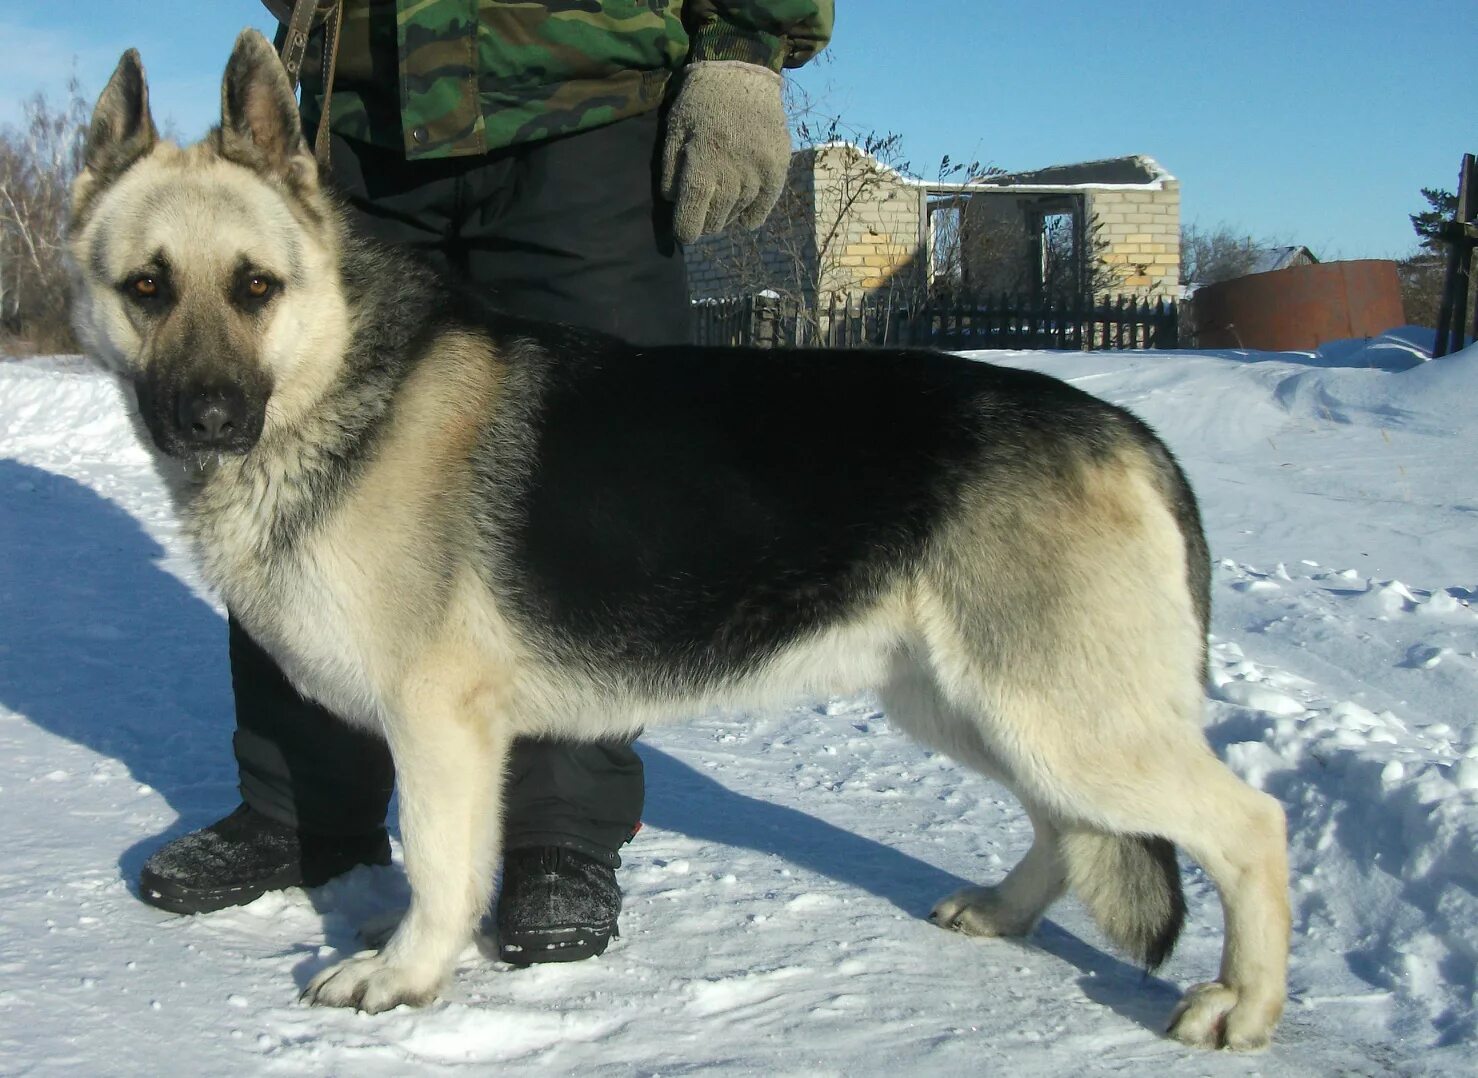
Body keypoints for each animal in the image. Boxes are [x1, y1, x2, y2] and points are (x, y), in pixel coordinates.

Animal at [72, 27, 1294, 1052]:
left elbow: (439, 870)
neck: (340, 386)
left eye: (256, 288)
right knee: (1064, 825)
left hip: (1058, 715)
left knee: (1251, 824)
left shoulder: (437, 728)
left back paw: (1242, 1004)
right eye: (146, 287)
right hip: (983, 707)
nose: (209, 420)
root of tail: (1129, 430)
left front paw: (406, 976)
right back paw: (1002, 911)